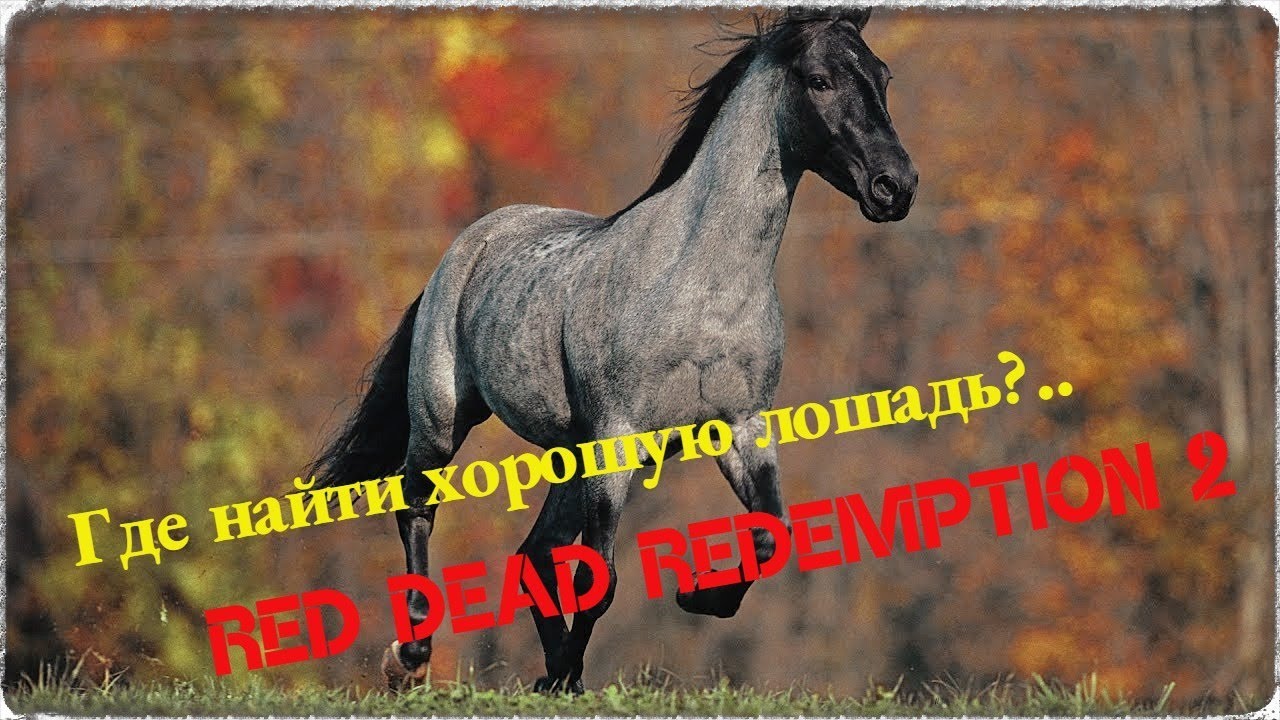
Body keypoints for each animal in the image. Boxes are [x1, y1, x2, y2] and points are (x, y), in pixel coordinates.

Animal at [308, 7, 917, 694]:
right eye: (818, 80)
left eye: (883, 76)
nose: (896, 186)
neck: (699, 288)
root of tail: (469, 243)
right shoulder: (618, 437)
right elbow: (599, 577)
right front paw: (573, 669)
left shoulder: (742, 428)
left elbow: (772, 536)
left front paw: (698, 596)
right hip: (443, 421)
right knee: (418, 508)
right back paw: (411, 658)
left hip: (570, 455)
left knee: (535, 552)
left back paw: (551, 674)